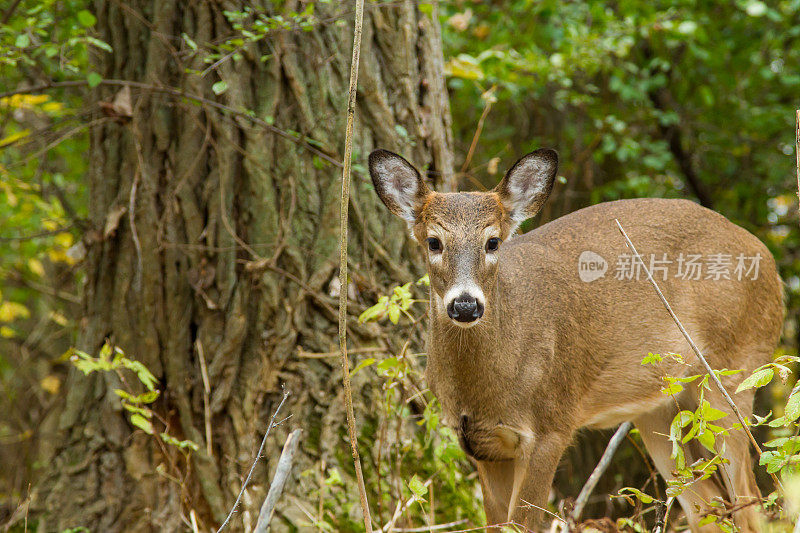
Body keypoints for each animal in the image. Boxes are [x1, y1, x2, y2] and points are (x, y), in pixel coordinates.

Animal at [372, 147, 784, 532]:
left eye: (492, 242)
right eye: (433, 241)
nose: (465, 304)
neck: (488, 387)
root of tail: (771, 263)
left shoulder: (551, 425)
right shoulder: (481, 445)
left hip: (734, 370)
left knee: (751, 504)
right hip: (659, 407)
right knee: (709, 509)